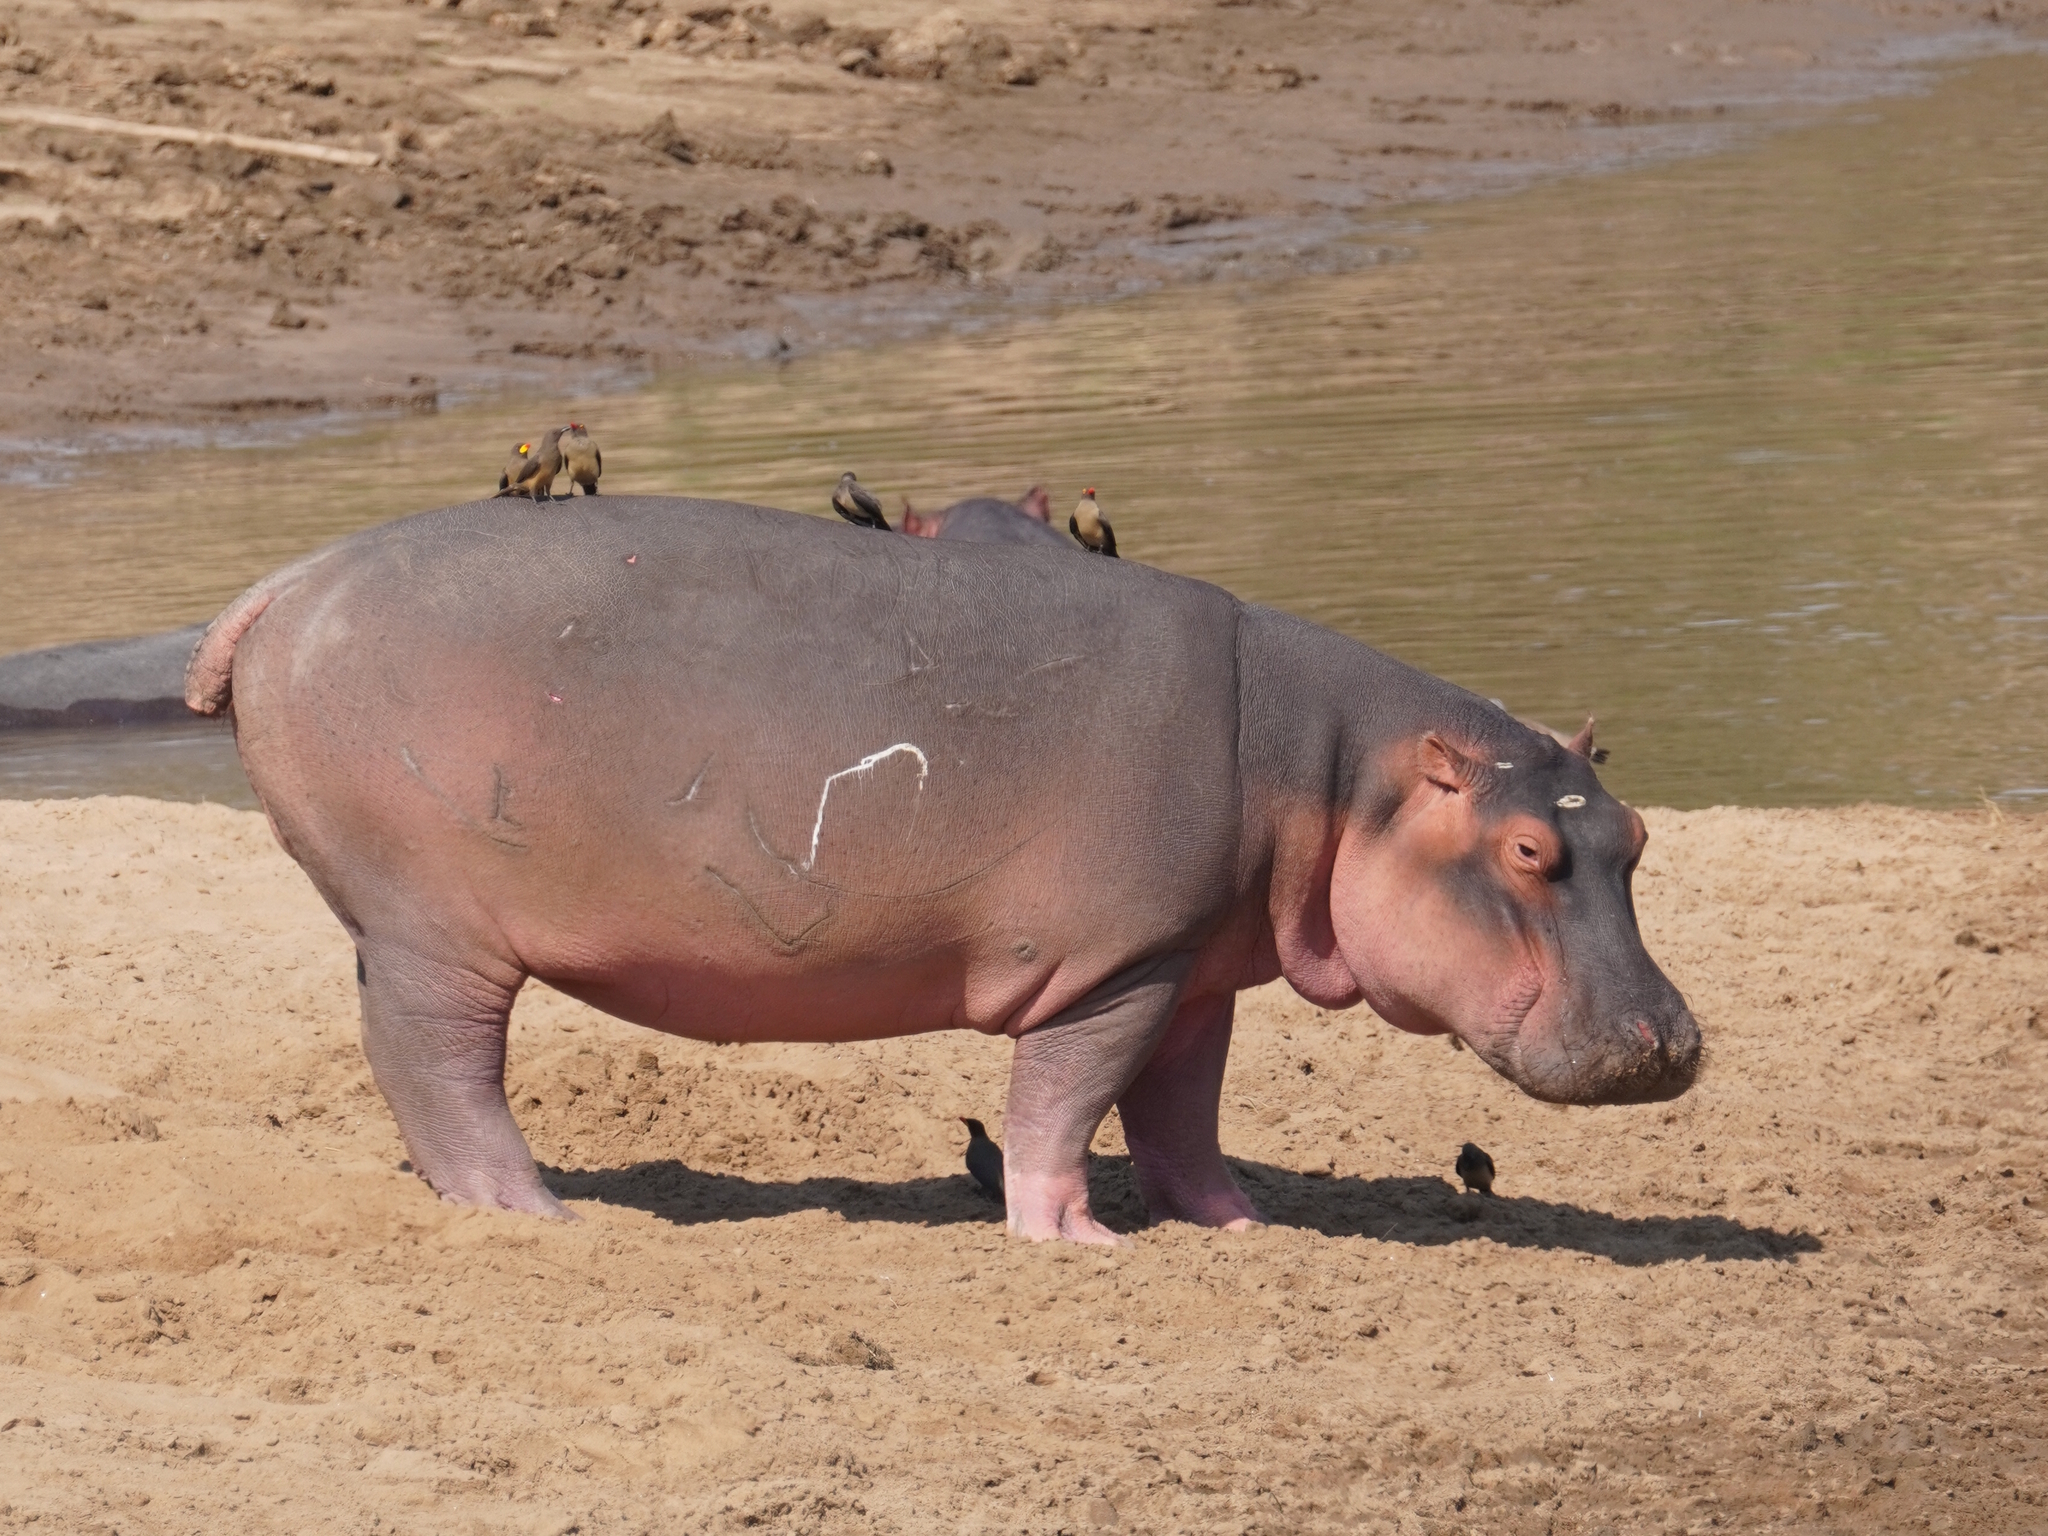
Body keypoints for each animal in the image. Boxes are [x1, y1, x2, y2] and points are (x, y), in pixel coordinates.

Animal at [186, 496, 1700, 1244]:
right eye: (1525, 849)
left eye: (1633, 835)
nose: (1669, 1042)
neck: (1335, 773)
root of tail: (283, 582)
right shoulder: (1110, 966)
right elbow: (1063, 1105)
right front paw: (1070, 1238)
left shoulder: (1195, 965)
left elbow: (1183, 1115)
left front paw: (1238, 1226)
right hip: (440, 927)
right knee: (440, 1064)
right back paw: (536, 1213)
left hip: (398, 924)